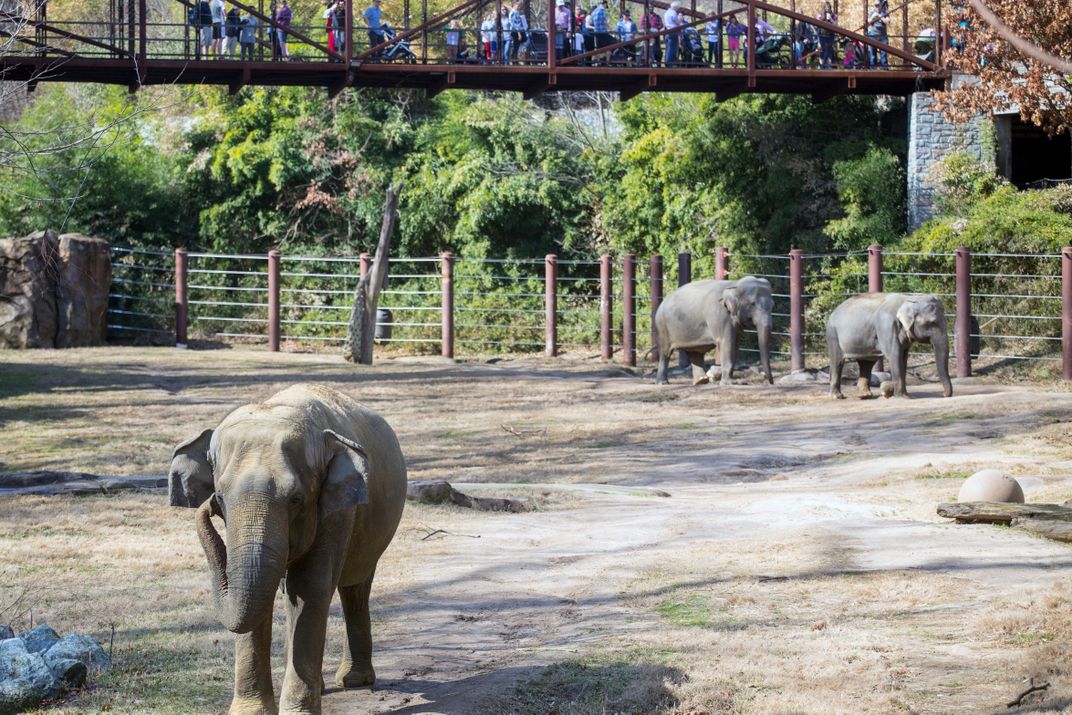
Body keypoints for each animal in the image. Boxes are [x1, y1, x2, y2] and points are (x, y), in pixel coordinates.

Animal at [169, 385, 407, 715]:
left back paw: (354, 681)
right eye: (220, 497)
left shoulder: (337, 510)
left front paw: (296, 710)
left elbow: (309, 587)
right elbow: (258, 592)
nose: (208, 506)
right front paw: (249, 712)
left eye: (296, 499)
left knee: (354, 586)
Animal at [827, 291, 956, 403]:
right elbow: (895, 355)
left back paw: (865, 395)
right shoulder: (886, 326)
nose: (944, 395)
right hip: (833, 334)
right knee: (838, 361)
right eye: (932, 323)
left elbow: (903, 358)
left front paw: (903, 394)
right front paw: (903, 397)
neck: (910, 299)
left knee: (866, 363)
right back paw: (837, 396)